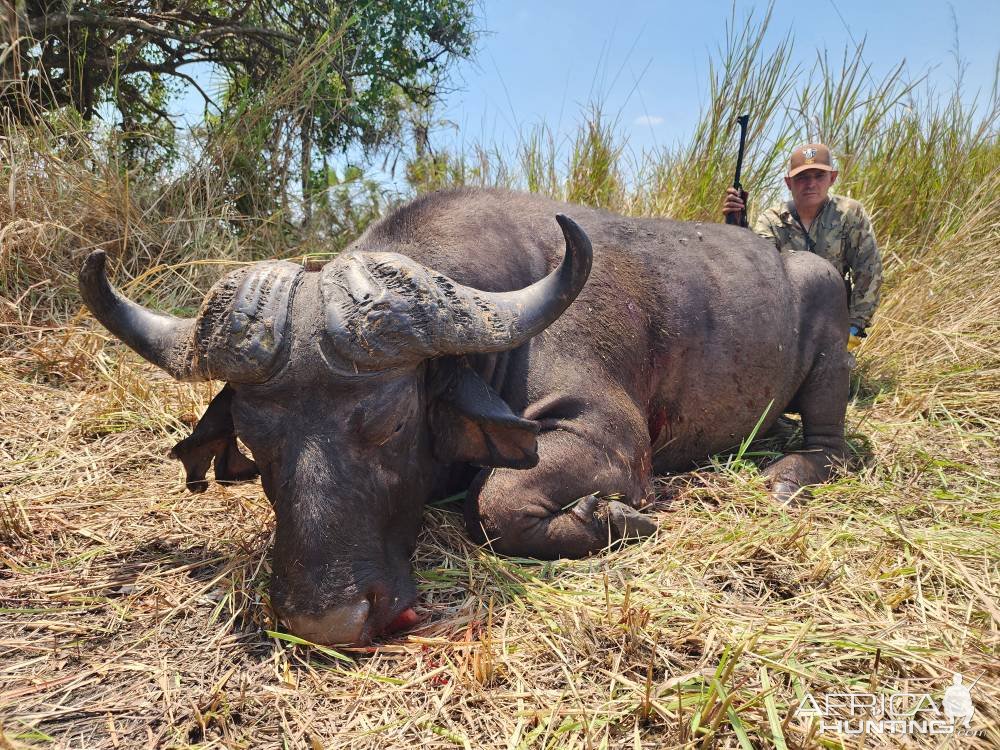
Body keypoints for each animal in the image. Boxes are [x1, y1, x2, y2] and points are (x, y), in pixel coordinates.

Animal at [78, 188, 848, 648]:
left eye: (389, 424)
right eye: (256, 442)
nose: (326, 620)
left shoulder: (609, 436)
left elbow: (495, 501)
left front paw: (614, 516)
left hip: (826, 309)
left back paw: (788, 476)